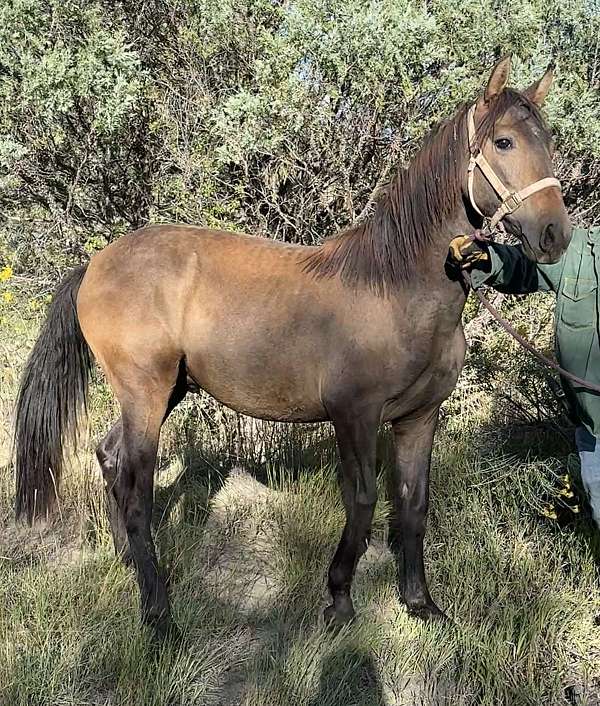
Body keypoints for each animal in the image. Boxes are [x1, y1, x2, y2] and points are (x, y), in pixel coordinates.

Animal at [11, 57, 568, 636]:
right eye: (503, 141)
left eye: (547, 139)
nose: (555, 234)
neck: (396, 287)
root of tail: (95, 264)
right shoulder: (354, 415)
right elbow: (363, 501)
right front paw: (339, 600)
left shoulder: (419, 417)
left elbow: (414, 504)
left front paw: (420, 603)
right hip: (146, 392)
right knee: (137, 489)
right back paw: (159, 614)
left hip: (164, 391)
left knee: (111, 459)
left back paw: (130, 562)